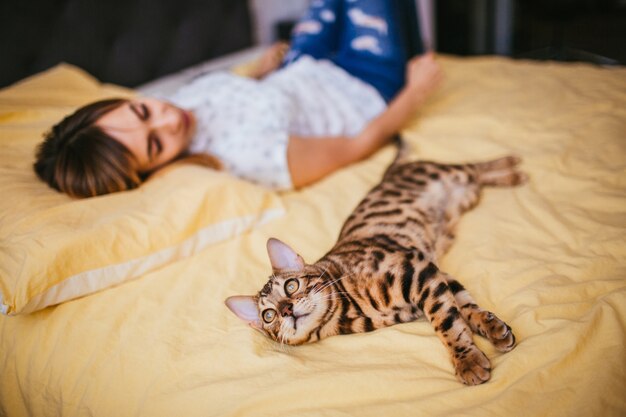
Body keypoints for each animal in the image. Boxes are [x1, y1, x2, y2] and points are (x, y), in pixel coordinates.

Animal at [227, 139, 524, 384]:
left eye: (291, 286)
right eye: (269, 316)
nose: (287, 309)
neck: (349, 312)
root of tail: (391, 172)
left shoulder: (417, 270)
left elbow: (447, 322)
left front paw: (468, 360)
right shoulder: (435, 274)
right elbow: (463, 308)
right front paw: (492, 330)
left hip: (448, 174)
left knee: (473, 167)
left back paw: (512, 166)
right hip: (467, 196)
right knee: (479, 178)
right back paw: (509, 175)